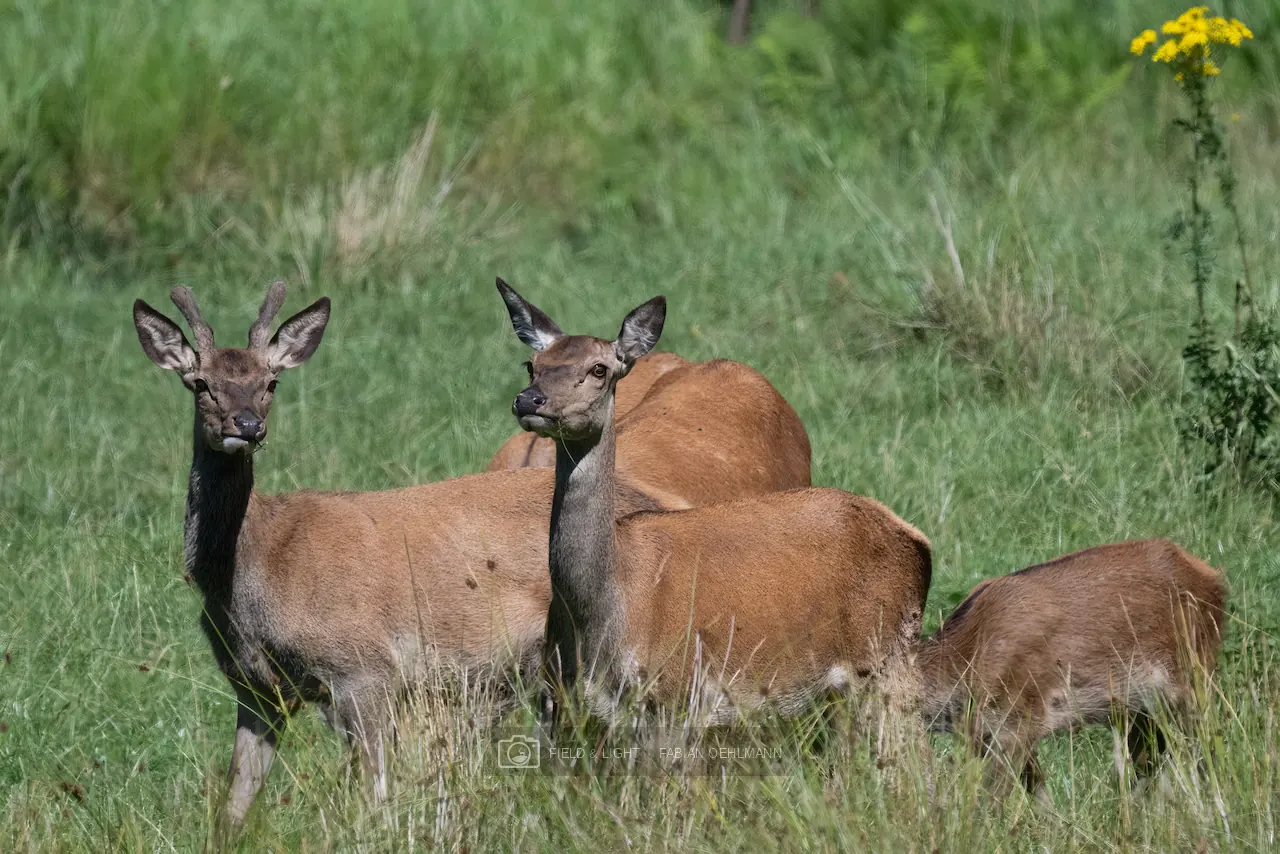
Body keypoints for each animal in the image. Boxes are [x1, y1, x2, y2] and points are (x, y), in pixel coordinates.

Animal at [132, 282, 815, 828]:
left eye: (271, 382)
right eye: (199, 383)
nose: (245, 425)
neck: (253, 572)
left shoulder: (364, 669)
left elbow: (374, 800)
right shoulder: (254, 691)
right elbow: (233, 810)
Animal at [496, 280, 933, 750]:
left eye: (599, 369)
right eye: (531, 365)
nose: (529, 400)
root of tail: (918, 541)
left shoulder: (676, 695)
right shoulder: (554, 701)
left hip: (888, 661)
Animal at [917, 539, 1227, 804]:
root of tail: (1215, 578)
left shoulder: (1019, 718)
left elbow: (989, 801)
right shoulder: (990, 732)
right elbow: (1040, 794)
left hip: (1194, 679)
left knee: (1207, 752)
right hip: (1140, 711)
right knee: (1151, 767)